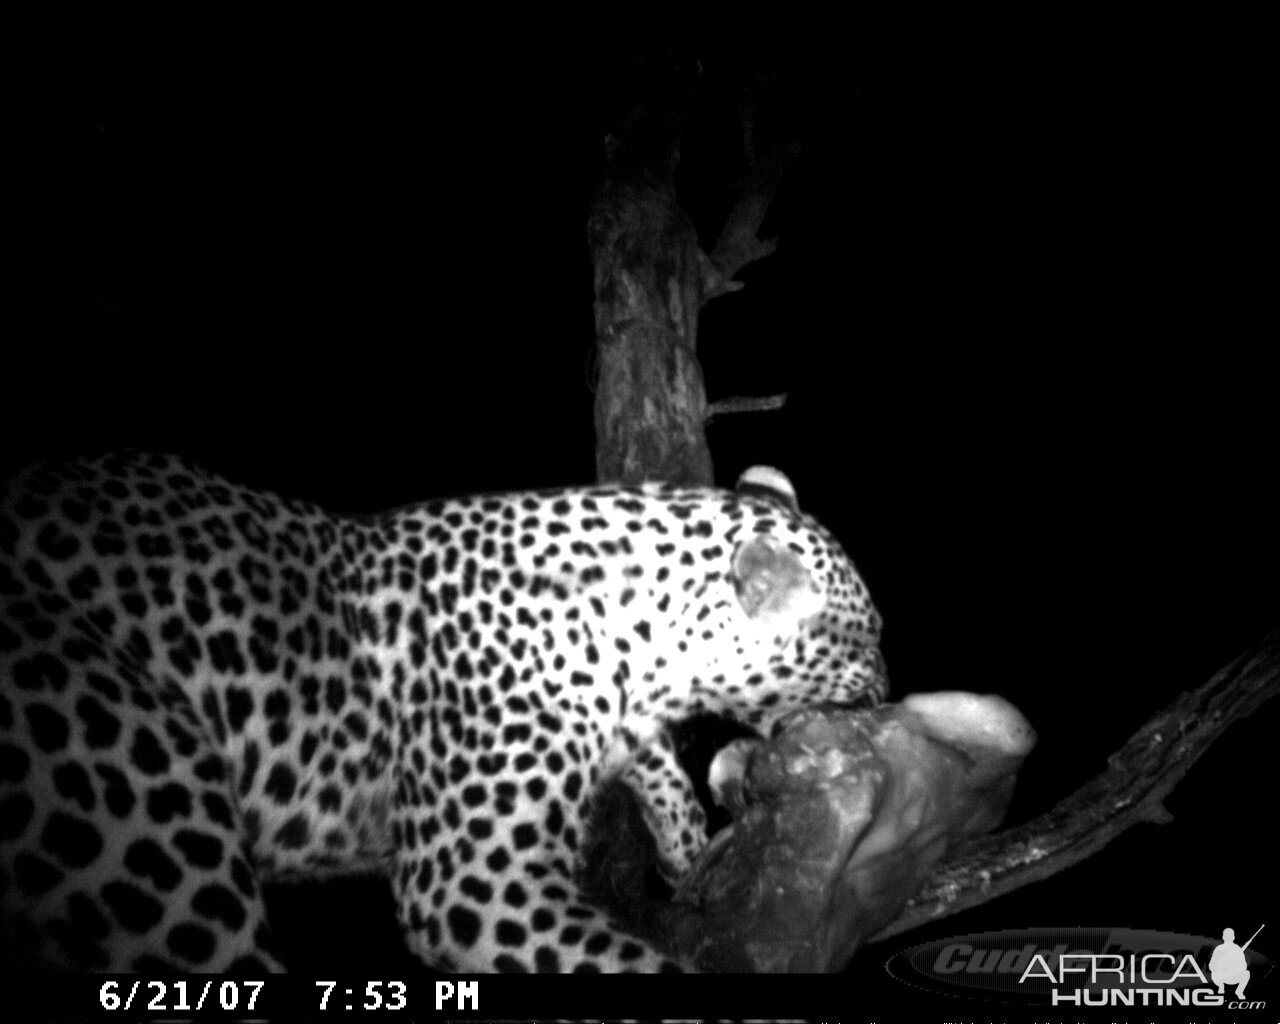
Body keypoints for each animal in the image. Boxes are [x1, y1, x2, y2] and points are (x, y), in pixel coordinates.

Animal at [0, 453, 885, 972]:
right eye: (867, 639)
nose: (883, 692)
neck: (643, 643)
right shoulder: (479, 880)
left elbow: (655, 759)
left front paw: (687, 845)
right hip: (155, 835)